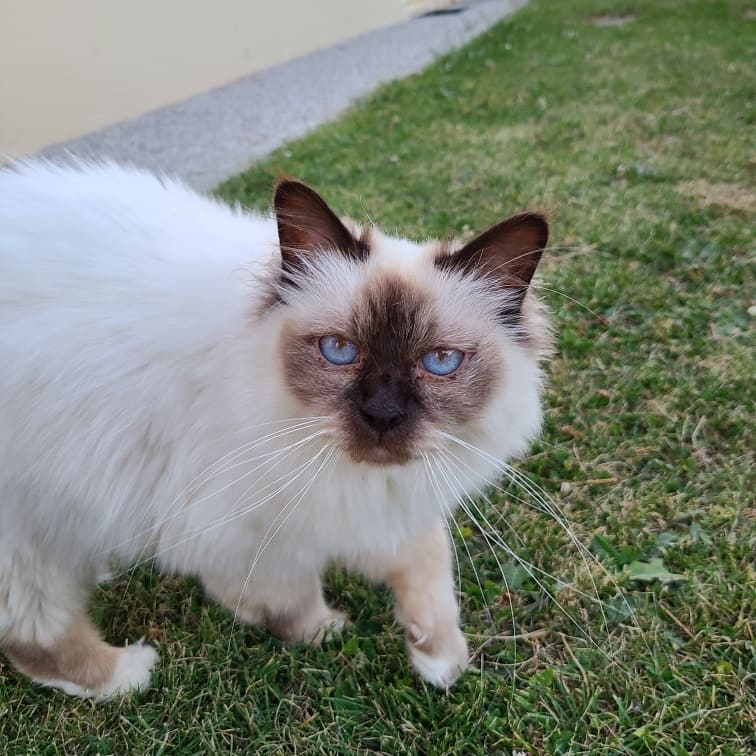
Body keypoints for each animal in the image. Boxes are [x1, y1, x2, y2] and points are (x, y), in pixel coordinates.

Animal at [0, 161, 548, 704]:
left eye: (440, 361)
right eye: (339, 351)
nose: (383, 415)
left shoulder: (379, 507)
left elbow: (431, 569)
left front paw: (441, 660)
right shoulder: (247, 534)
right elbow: (288, 601)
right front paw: (325, 631)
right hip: (30, 542)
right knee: (35, 638)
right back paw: (129, 674)